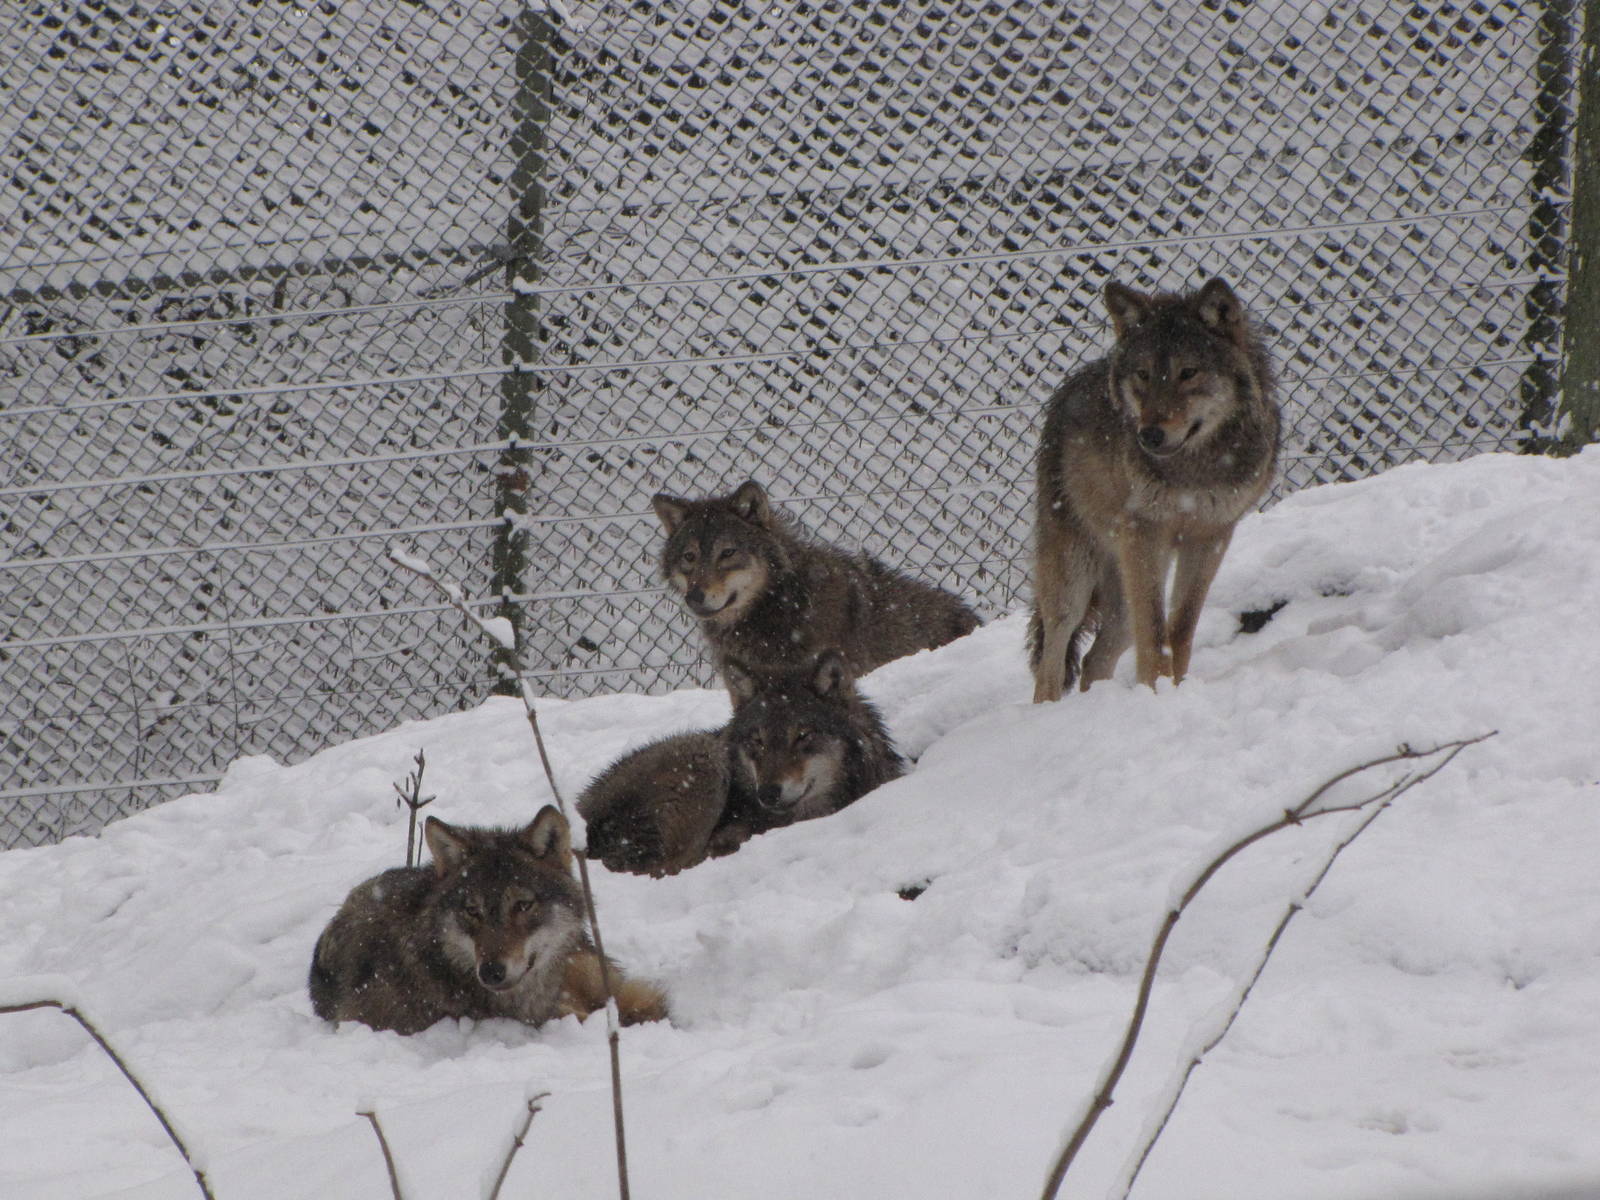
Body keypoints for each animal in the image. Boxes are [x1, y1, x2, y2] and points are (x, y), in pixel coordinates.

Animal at [1029, 277, 1280, 701]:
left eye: (1188, 372)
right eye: (1144, 375)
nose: (1150, 434)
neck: (1194, 468)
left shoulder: (1212, 536)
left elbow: (1179, 630)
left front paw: (1174, 690)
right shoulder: (1145, 532)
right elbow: (1155, 632)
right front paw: (1158, 690)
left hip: (1123, 593)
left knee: (1095, 660)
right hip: (1075, 580)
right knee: (1052, 660)